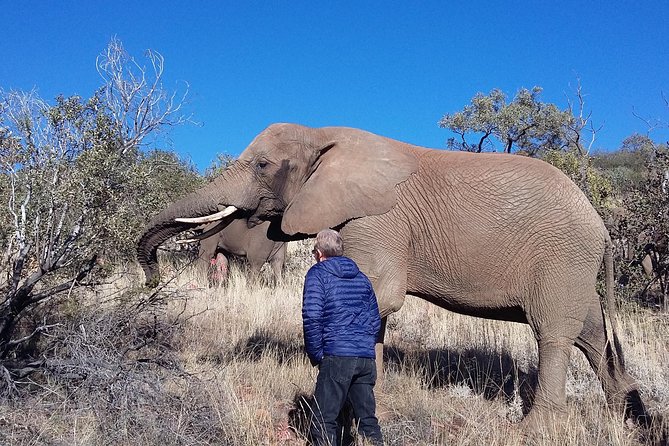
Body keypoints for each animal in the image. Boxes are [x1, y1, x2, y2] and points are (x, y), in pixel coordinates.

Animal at [137, 123, 649, 430]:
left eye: (262, 165)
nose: (150, 282)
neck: (323, 133)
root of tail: (602, 226)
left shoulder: (378, 220)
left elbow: (380, 295)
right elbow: (373, 308)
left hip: (562, 257)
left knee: (555, 334)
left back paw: (538, 429)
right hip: (572, 265)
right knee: (591, 334)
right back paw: (625, 417)